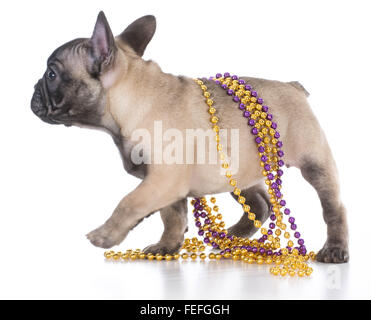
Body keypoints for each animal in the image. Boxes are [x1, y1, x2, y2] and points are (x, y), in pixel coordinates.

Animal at [31, 11, 348, 262]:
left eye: (51, 74)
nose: (33, 88)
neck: (131, 99)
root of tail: (294, 87)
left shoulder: (162, 179)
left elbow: (129, 202)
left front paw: (105, 235)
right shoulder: (166, 185)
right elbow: (171, 215)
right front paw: (167, 246)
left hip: (314, 162)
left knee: (333, 207)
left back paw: (334, 249)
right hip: (236, 171)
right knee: (260, 203)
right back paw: (233, 236)